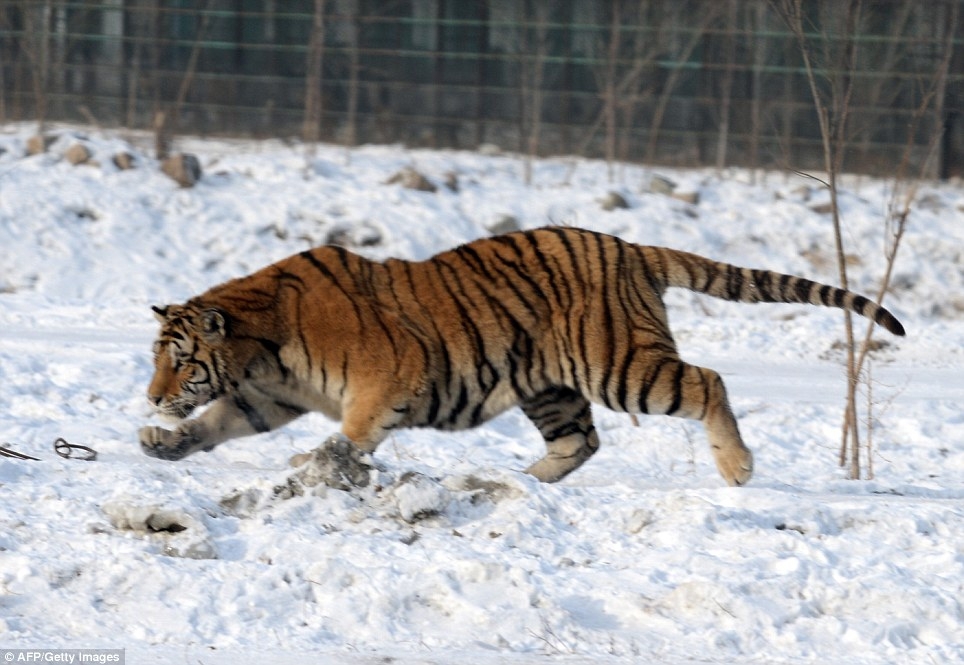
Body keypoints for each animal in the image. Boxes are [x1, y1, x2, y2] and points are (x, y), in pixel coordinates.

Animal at [137, 226, 904, 486]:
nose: (149, 396)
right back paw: (526, 481)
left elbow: (353, 432)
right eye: (159, 360)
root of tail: (632, 247)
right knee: (581, 441)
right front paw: (162, 442)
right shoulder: (269, 397)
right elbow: (214, 424)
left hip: (622, 367)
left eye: (179, 360)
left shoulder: (385, 377)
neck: (260, 347)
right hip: (551, 385)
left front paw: (317, 461)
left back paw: (737, 467)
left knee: (709, 381)